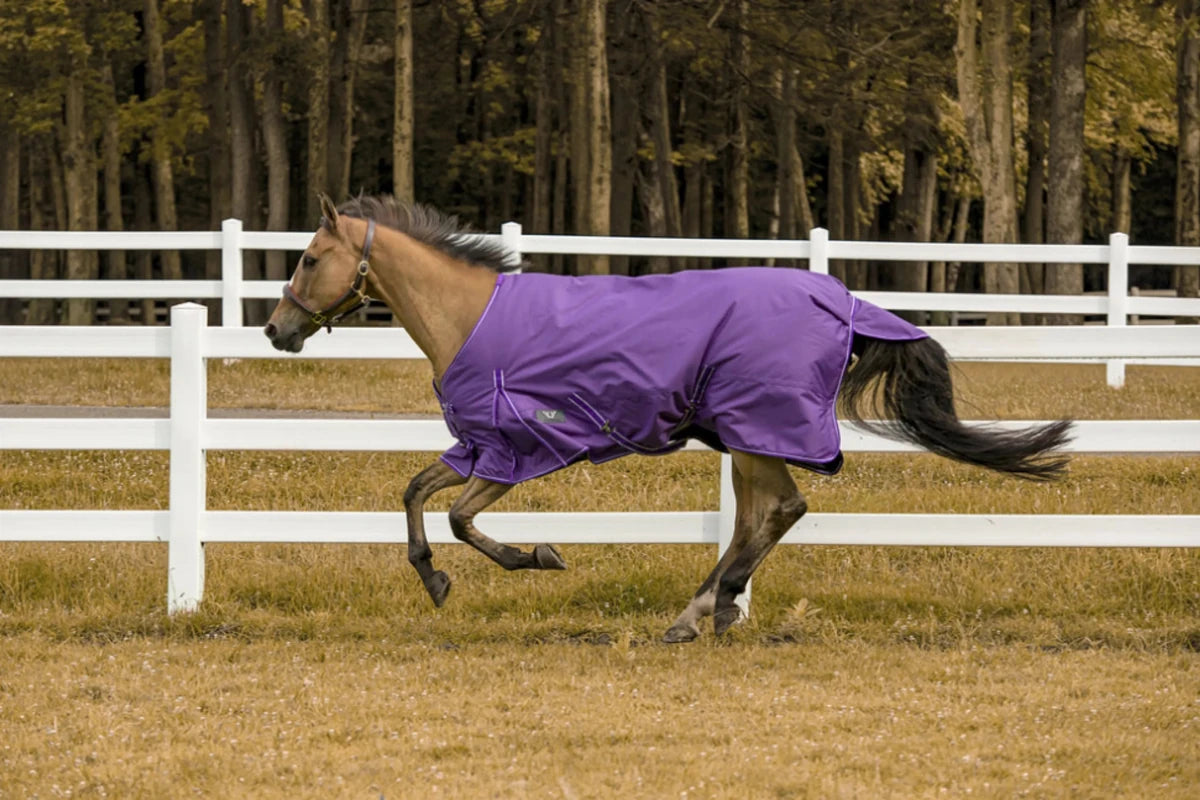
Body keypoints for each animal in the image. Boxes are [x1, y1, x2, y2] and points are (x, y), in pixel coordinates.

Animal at [264, 194, 1073, 643]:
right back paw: (711, 607)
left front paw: (538, 557)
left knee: (779, 508)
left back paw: (702, 610)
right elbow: (414, 494)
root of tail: (841, 301)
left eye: (308, 258)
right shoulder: (476, 445)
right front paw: (432, 580)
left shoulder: (520, 447)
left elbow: (462, 519)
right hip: (743, 438)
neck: (472, 318)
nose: (277, 330)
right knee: (761, 515)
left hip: (756, 431)